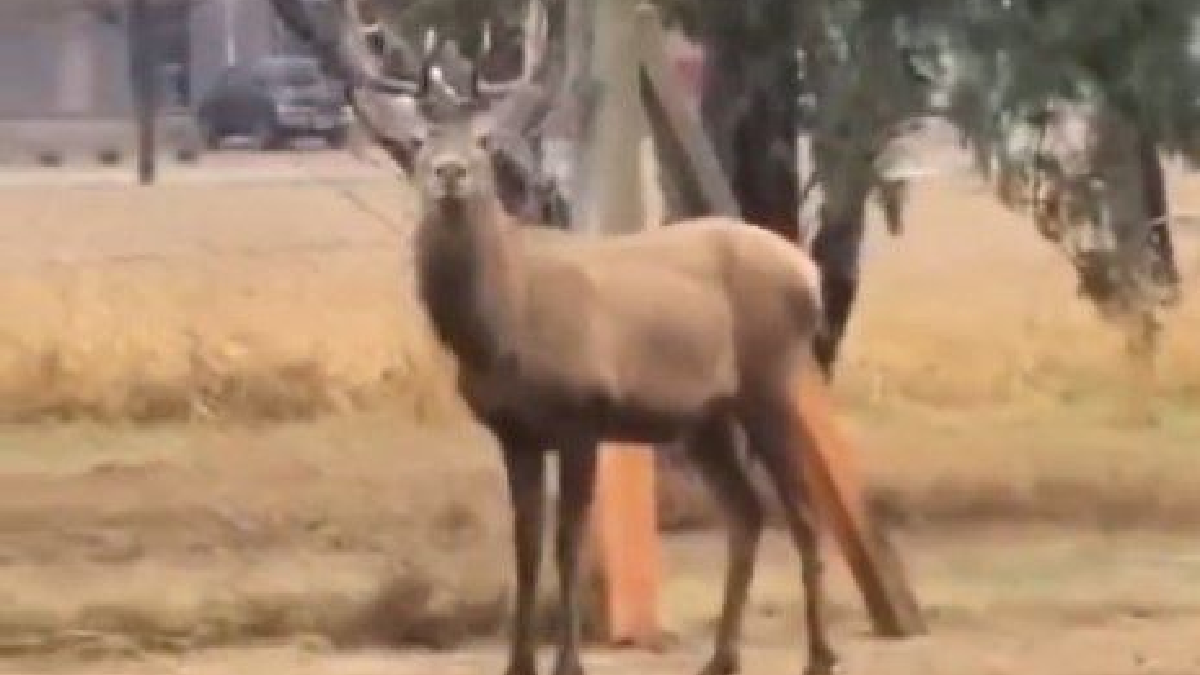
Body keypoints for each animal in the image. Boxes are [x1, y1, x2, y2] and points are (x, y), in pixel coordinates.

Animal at [269, 2, 838, 675]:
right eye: (418, 142)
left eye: (484, 141)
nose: (450, 173)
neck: (503, 331)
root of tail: (809, 273)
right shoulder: (513, 431)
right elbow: (525, 548)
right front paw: (517, 662)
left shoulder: (582, 414)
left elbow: (569, 543)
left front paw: (569, 661)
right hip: (704, 419)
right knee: (748, 513)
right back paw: (721, 658)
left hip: (768, 384)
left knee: (800, 510)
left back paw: (819, 654)